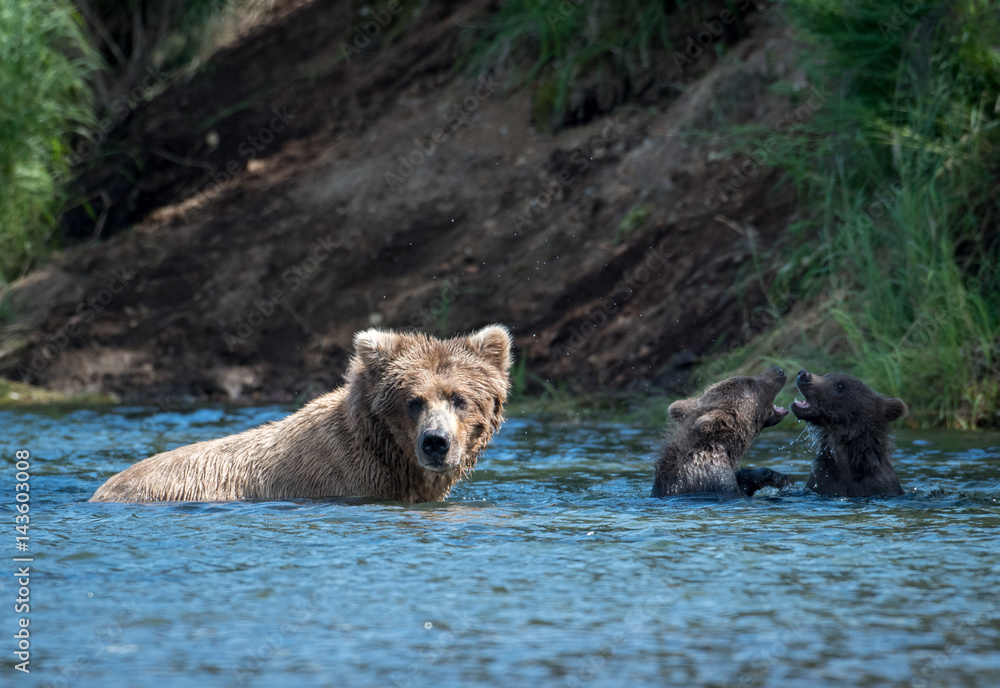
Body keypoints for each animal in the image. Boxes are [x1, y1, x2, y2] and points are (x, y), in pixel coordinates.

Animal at [90, 325, 513, 504]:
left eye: (459, 398)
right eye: (413, 400)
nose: (435, 442)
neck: (387, 453)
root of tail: (100, 490)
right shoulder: (344, 479)